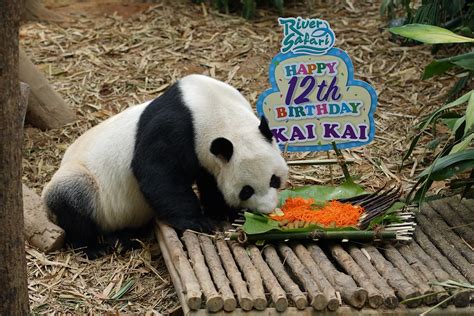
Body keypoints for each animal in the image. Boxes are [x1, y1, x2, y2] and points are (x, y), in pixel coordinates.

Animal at [42, 74, 288, 254]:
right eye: (247, 190)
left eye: (274, 180)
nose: (268, 210)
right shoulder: (178, 127)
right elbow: (157, 173)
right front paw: (201, 221)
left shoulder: (208, 155)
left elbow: (211, 181)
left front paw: (225, 213)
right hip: (83, 182)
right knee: (74, 199)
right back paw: (97, 247)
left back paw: (123, 240)